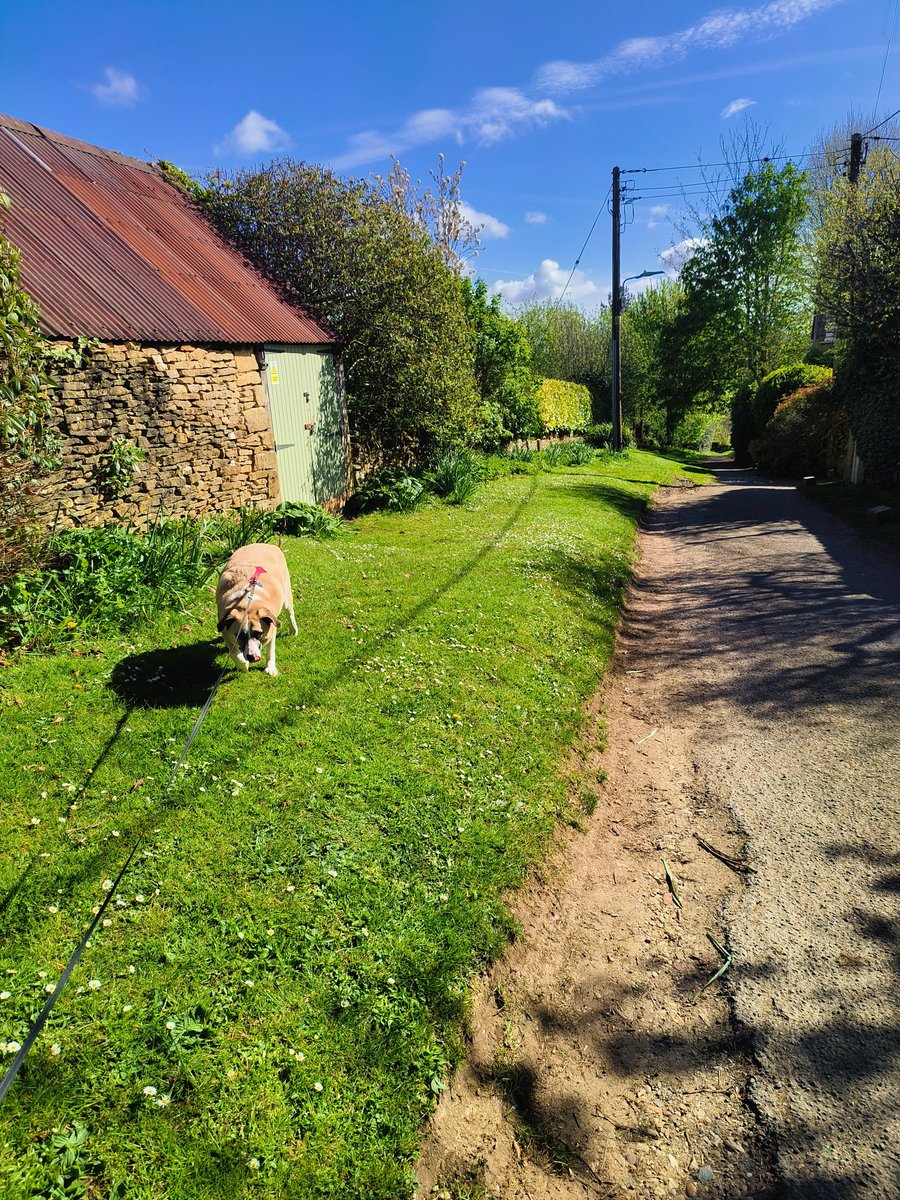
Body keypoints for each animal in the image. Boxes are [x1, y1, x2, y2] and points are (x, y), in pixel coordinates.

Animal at [217, 544, 300, 676]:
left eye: (259, 634)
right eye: (240, 635)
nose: (252, 657)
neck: (247, 605)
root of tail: (266, 544)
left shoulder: (271, 629)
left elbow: (270, 650)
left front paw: (270, 668)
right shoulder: (226, 630)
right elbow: (234, 653)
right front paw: (243, 665)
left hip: (286, 595)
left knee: (290, 612)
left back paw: (293, 630)